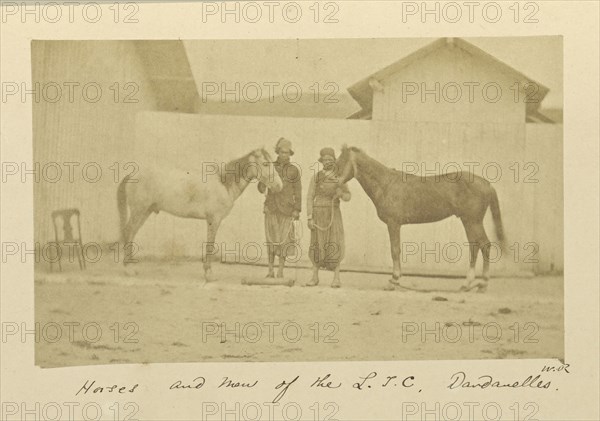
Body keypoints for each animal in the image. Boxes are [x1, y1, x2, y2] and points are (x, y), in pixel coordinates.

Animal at [120, 148, 286, 282]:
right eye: (265, 164)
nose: (279, 186)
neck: (224, 184)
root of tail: (132, 175)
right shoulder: (214, 220)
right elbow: (210, 245)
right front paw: (209, 274)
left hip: (145, 211)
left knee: (132, 233)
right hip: (139, 210)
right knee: (128, 231)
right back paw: (128, 268)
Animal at [336, 146, 504, 290]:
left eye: (340, 162)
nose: (334, 182)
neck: (386, 184)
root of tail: (487, 184)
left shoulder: (393, 223)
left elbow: (395, 250)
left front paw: (394, 280)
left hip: (472, 221)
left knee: (484, 246)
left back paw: (479, 283)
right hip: (469, 221)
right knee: (476, 247)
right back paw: (471, 284)